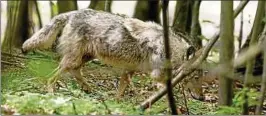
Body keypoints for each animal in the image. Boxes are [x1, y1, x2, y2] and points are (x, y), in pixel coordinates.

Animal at [21, 8, 191, 97]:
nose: (198, 95)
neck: (174, 49)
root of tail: (73, 12)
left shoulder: (129, 71)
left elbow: (121, 91)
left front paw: (117, 103)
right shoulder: (156, 74)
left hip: (84, 58)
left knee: (75, 72)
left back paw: (89, 89)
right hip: (73, 60)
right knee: (53, 77)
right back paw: (52, 92)